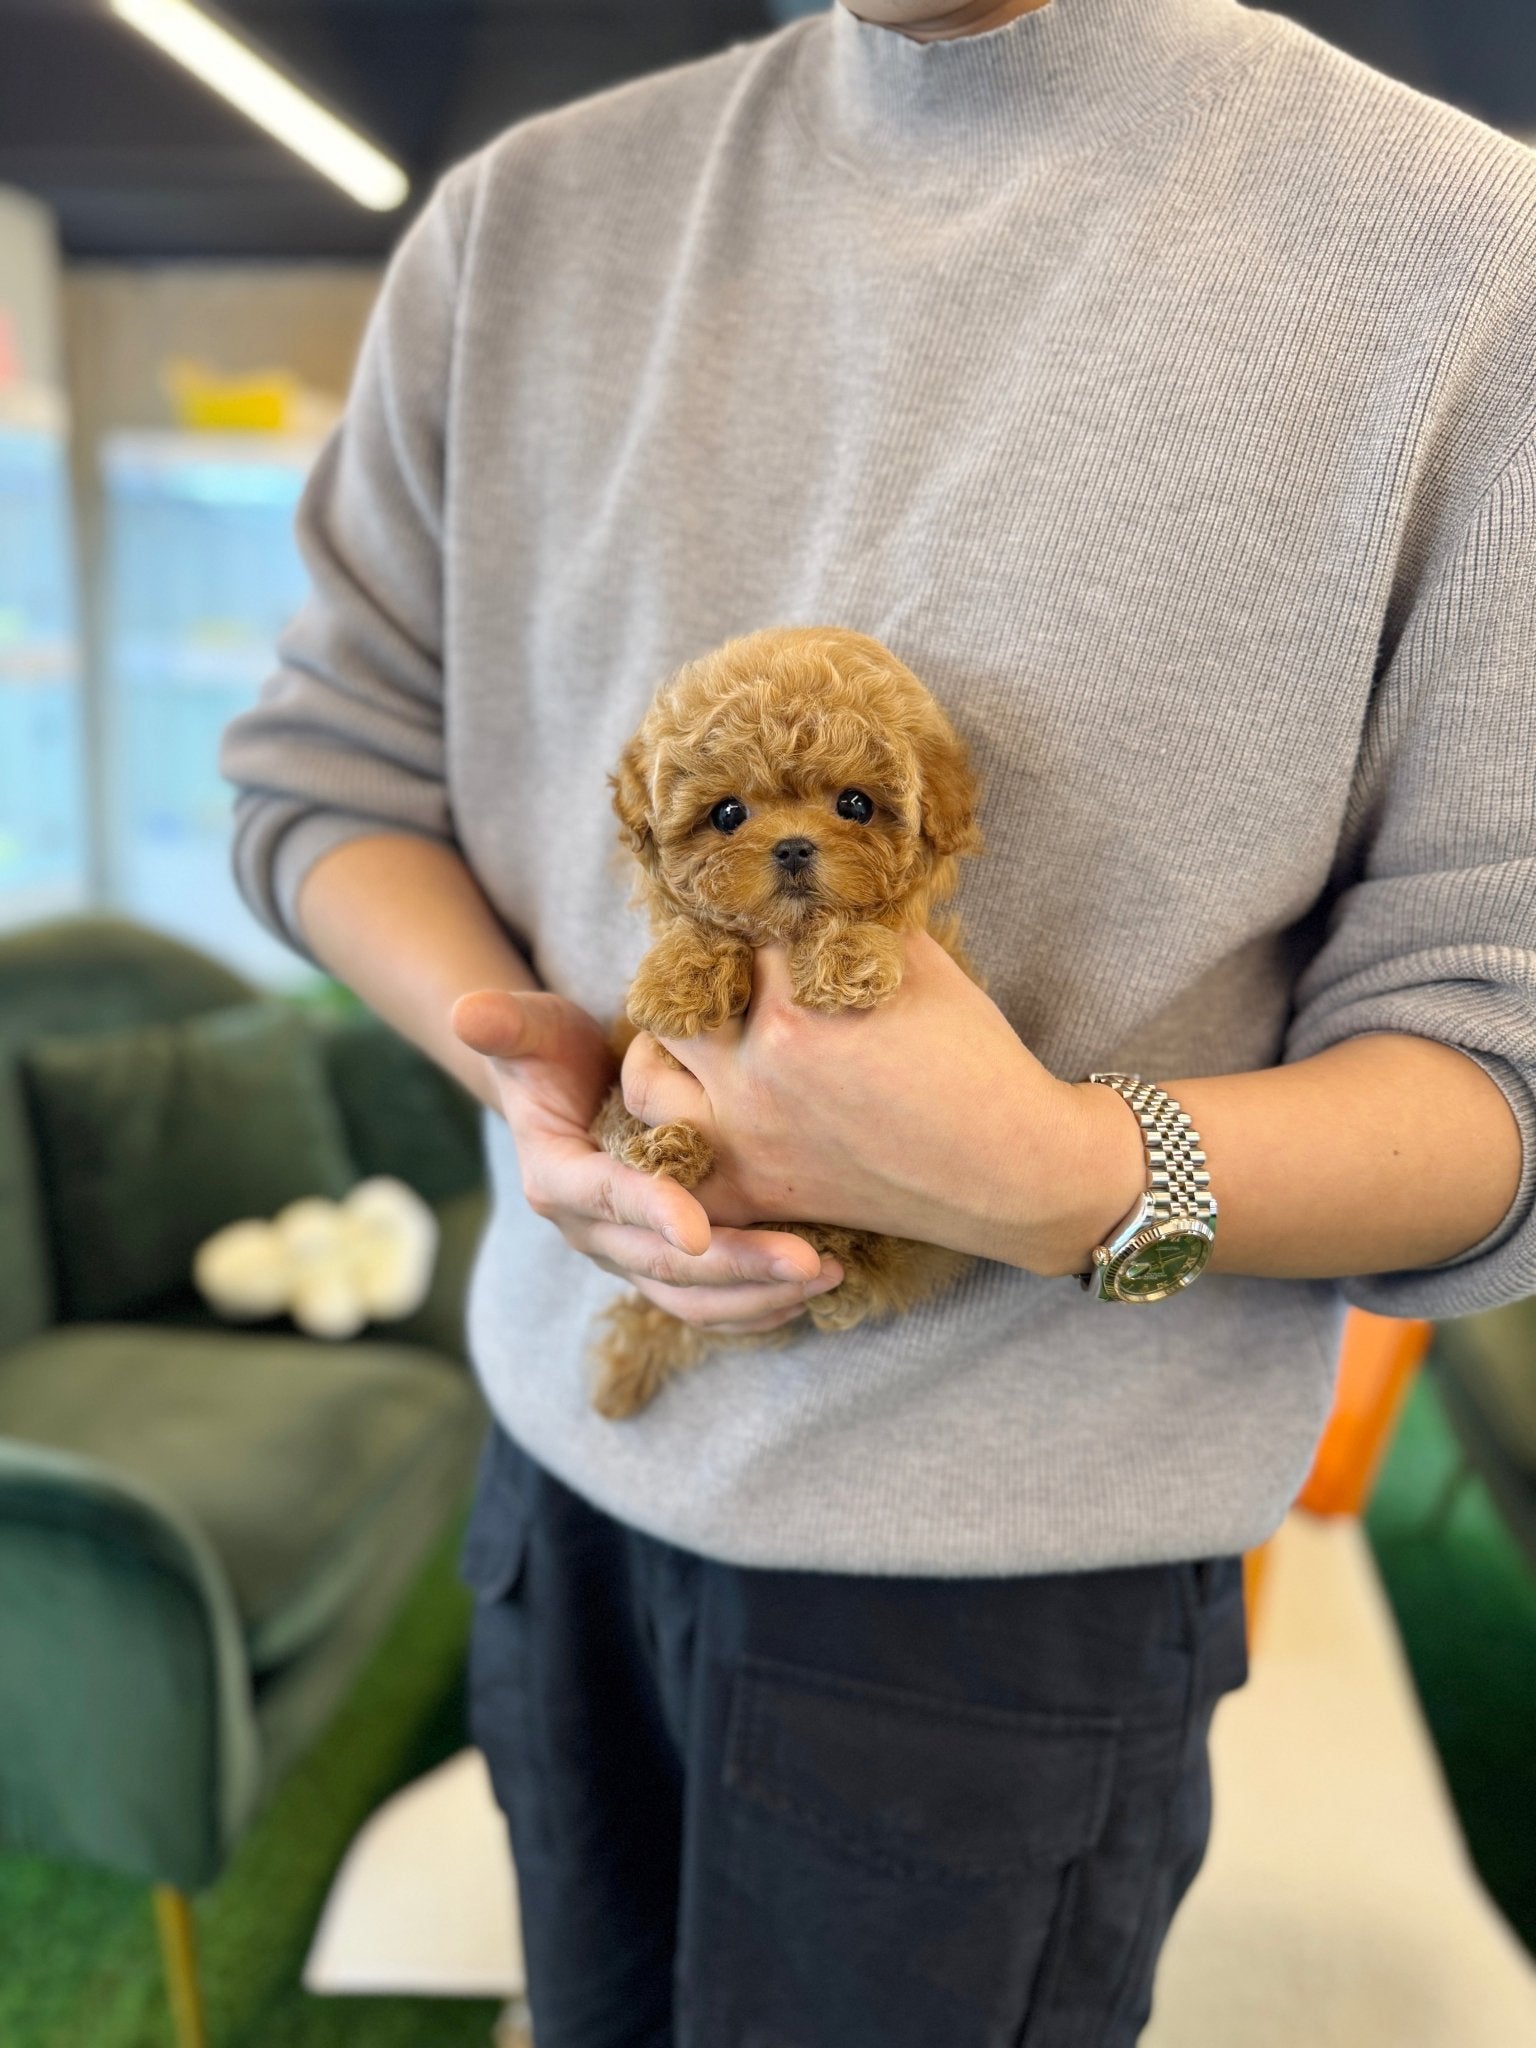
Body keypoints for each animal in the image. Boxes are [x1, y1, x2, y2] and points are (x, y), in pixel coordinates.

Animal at [581, 626, 991, 1425]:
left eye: (856, 804)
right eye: (727, 814)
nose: (796, 846)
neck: (784, 937)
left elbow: (869, 924)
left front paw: (849, 957)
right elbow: (699, 931)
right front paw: (682, 977)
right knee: (617, 1129)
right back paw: (667, 1149)